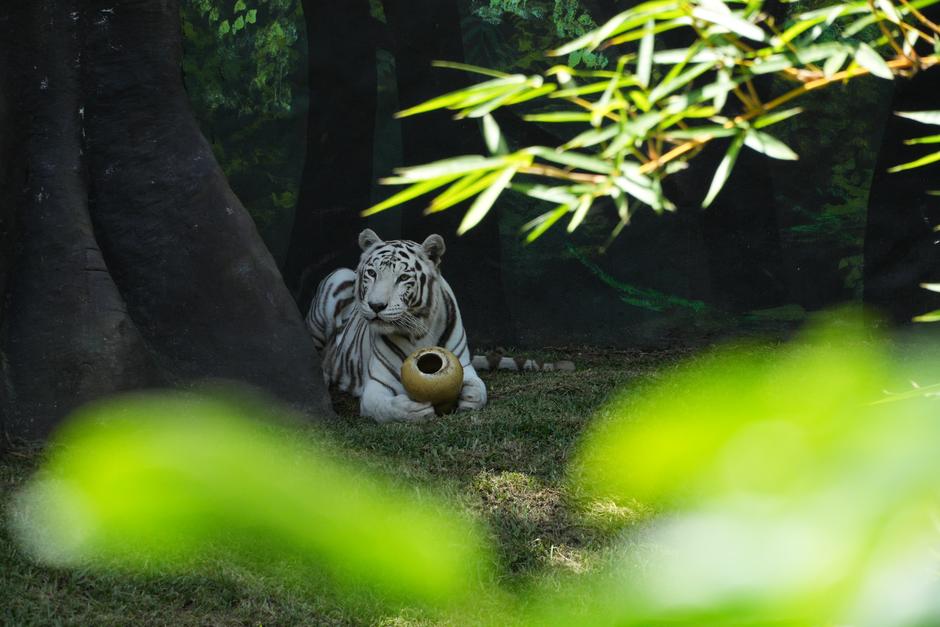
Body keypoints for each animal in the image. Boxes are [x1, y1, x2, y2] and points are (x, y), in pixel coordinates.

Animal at [308, 228, 488, 424]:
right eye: (372, 273)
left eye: (403, 277)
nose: (376, 305)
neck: (420, 332)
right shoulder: (376, 386)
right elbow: (386, 408)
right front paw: (415, 410)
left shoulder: (464, 366)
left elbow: (479, 392)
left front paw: (468, 397)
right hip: (335, 284)